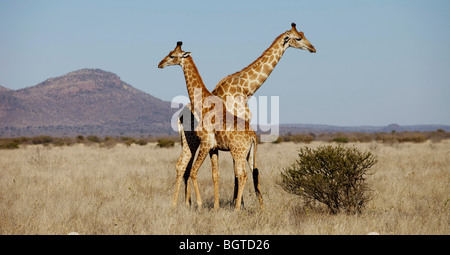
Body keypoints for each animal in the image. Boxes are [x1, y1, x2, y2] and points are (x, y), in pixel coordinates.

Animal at [159, 40, 262, 210]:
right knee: (252, 173)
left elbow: (194, 172)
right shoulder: (214, 147)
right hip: (249, 153)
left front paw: (200, 205)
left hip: (238, 152)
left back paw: (236, 208)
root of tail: (253, 136)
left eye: (172, 56)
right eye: (169, 53)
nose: (160, 64)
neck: (203, 105)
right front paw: (215, 206)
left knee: (242, 175)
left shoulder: (206, 143)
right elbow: (214, 174)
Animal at [176, 21, 316, 206]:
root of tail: (180, 115)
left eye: (304, 34)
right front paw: (238, 203)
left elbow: (248, 170)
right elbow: (238, 171)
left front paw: (243, 203)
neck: (245, 89)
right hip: (192, 139)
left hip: (190, 140)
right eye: (298, 38)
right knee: (184, 166)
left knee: (185, 167)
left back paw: (186, 204)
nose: (313, 48)